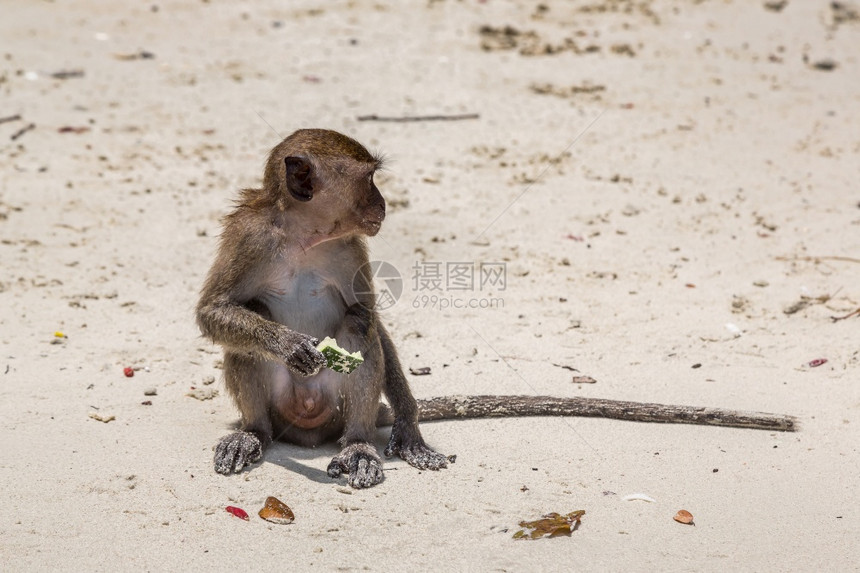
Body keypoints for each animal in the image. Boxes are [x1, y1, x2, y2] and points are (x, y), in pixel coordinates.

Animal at [197, 128, 800, 488]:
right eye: (367, 181)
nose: (383, 204)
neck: (304, 236)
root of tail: (307, 433)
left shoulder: (350, 247)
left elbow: (370, 321)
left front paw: (410, 428)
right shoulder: (251, 235)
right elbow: (215, 311)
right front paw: (289, 345)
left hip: (340, 412)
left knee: (356, 332)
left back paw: (361, 446)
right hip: (285, 413)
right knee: (249, 344)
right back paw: (254, 434)